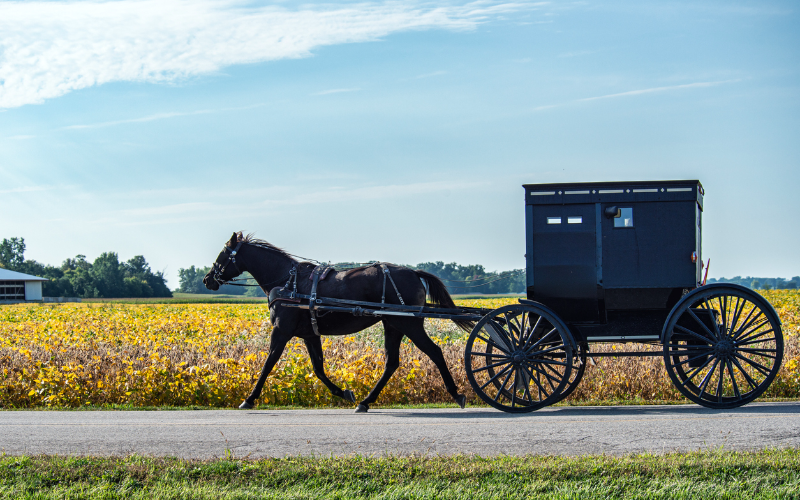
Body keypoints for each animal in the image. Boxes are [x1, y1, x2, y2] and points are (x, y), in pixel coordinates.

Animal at [202, 232, 473, 412]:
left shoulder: (281, 330)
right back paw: (365, 401)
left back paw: (457, 394)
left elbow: (268, 364)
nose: (208, 279)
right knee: (391, 362)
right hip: (393, 325)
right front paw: (345, 392)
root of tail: (413, 272)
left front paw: (249, 398)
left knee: (434, 352)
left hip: (409, 324)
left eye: (223, 254)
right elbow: (318, 369)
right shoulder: (310, 334)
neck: (288, 282)